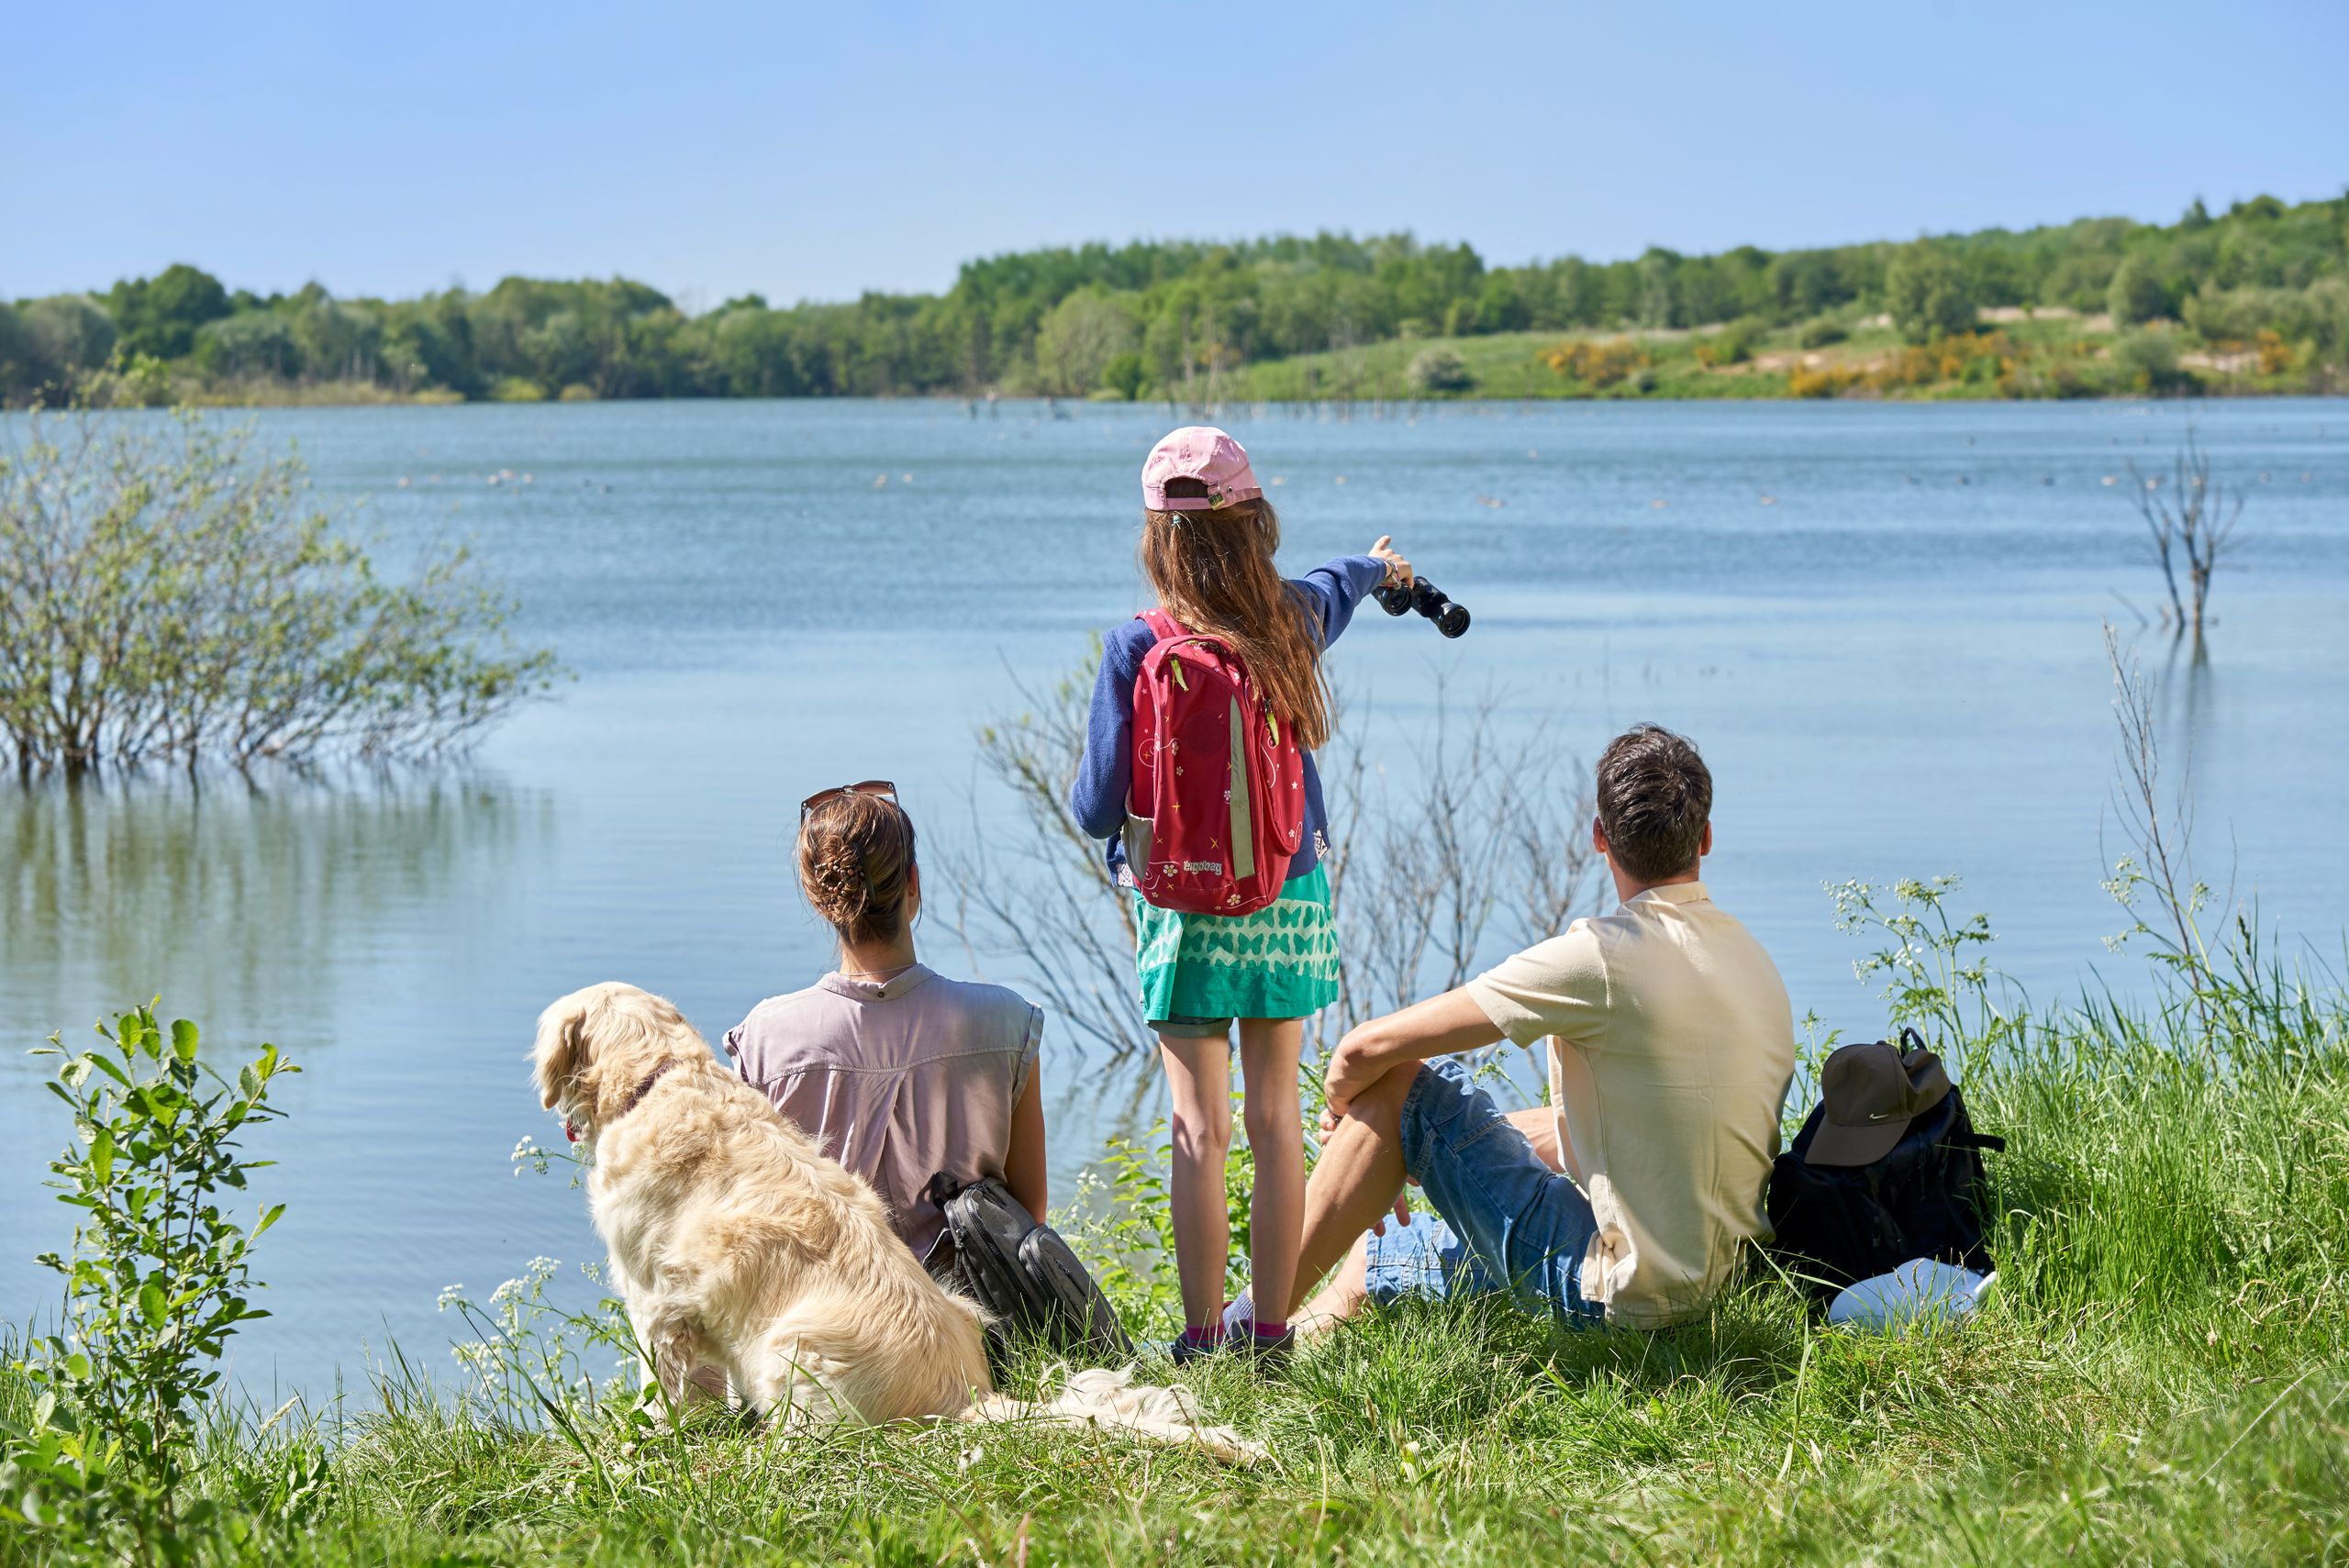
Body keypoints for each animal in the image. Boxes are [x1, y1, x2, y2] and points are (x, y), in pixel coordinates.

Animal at [535, 981, 1268, 1455]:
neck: (658, 1077)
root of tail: (965, 1395)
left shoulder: (657, 1303)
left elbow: (667, 1385)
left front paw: (661, 1437)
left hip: (790, 1350)